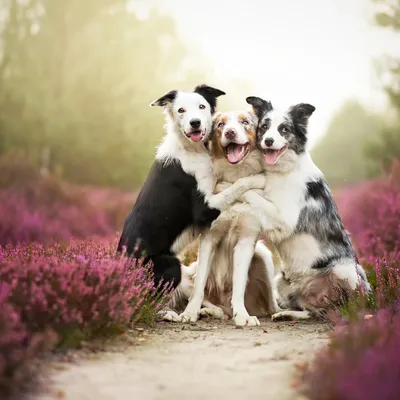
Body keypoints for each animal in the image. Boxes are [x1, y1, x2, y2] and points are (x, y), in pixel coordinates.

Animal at [115, 85, 266, 294]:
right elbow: (237, 185)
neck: (191, 149)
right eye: (181, 110)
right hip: (170, 265)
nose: (195, 123)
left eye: (202, 106)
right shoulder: (204, 208)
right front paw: (258, 178)